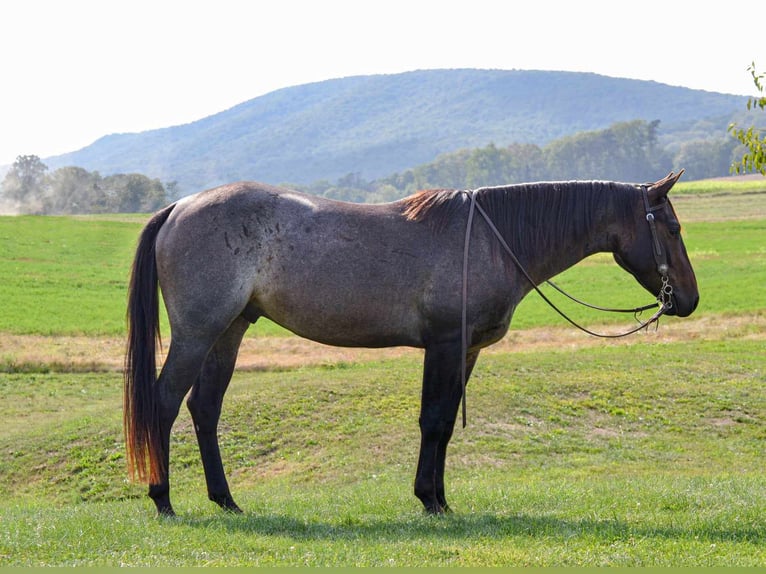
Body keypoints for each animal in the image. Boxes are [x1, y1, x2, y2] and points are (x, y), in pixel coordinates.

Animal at [124, 171, 704, 516]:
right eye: (673, 228)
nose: (689, 299)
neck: (493, 240)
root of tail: (179, 207)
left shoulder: (465, 352)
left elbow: (444, 425)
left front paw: (439, 498)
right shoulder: (444, 346)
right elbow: (434, 421)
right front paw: (429, 499)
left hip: (229, 332)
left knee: (205, 409)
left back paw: (225, 501)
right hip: (198, 334)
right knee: (165, 403)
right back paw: (163, 500)